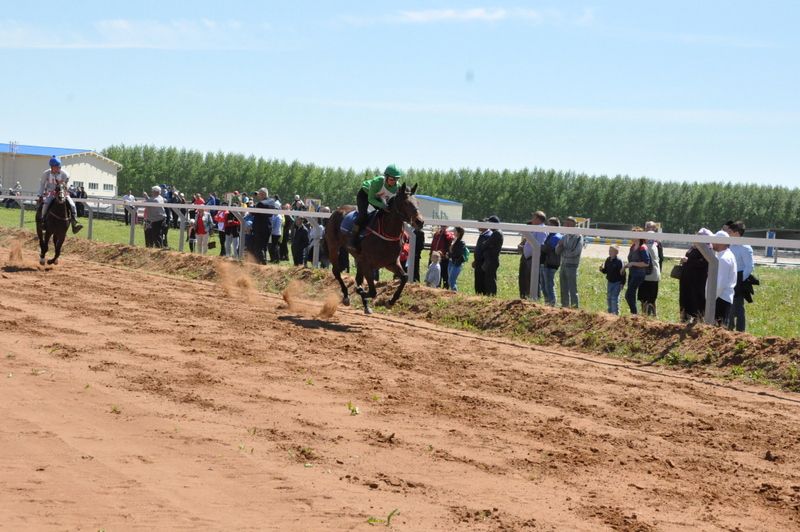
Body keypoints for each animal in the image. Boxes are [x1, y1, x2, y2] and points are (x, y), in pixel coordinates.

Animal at [324, 184, 424, 314]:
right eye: (406, 203)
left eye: (417, 202)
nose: (420, 221)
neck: (387, 232)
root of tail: (337, 210)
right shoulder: (368, 264)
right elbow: (372, 291)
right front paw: (360, 291)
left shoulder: (391, 263)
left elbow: (405, 277)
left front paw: (390, 302)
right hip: (333, 247)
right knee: (336, 271)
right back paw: (346, 296)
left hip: (358, 257)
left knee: (357, 278)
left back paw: (366, 306)